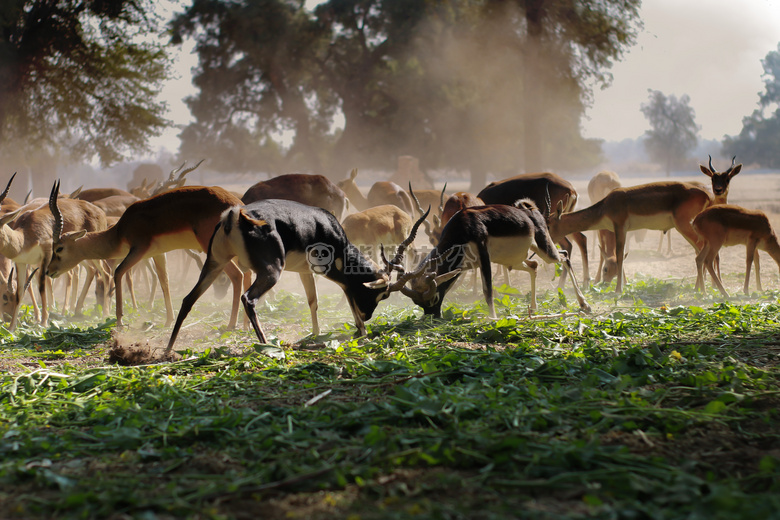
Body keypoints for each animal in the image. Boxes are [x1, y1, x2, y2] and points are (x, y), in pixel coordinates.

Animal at [47, 185, 245, 328]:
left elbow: (118, 272)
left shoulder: (139, 250)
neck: (120, 231)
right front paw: (168, 320)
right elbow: (164, 281)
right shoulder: (158, 254)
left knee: (238, 275)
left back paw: (231, 324)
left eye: (59, 248)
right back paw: (244, 325)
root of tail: (235, 204)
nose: (49, 271)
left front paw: (119, 321)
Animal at [166, 199, 432, 354]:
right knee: (248, 299)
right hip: (271, 272)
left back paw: (168, 350)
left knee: (188, 299)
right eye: (383, 294)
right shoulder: (334, 272)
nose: (368, 316)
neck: (331, 230)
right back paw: (266, 345)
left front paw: (315, 335)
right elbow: (348, 295)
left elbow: (313, 301)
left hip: (214, 263)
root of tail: (235, 216)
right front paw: (362, 333)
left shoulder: (305, 271)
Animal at [396, 201, 592, 318]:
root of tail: (532, 212)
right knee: (534, 266)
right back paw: (534, 308)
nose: (433, 318)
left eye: (433, 299)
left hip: (546, 250)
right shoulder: (465, 265)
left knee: (564, 256)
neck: (463, 227)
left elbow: (488, 290)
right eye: (418, 303)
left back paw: (585, 304)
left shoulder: (484, 256)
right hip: (514, 260)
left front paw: (493, 319)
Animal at [544, 181, 716, 292]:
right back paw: (700, 288)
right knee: (701, 252)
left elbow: (620, 255)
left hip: (684, 226)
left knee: (702, 252)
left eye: (548, 224)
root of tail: (706, 194)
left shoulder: (619, 227)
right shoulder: (621, 230)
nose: (545, 243)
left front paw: (618, 290)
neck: (605, 206)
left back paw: (704, 290)